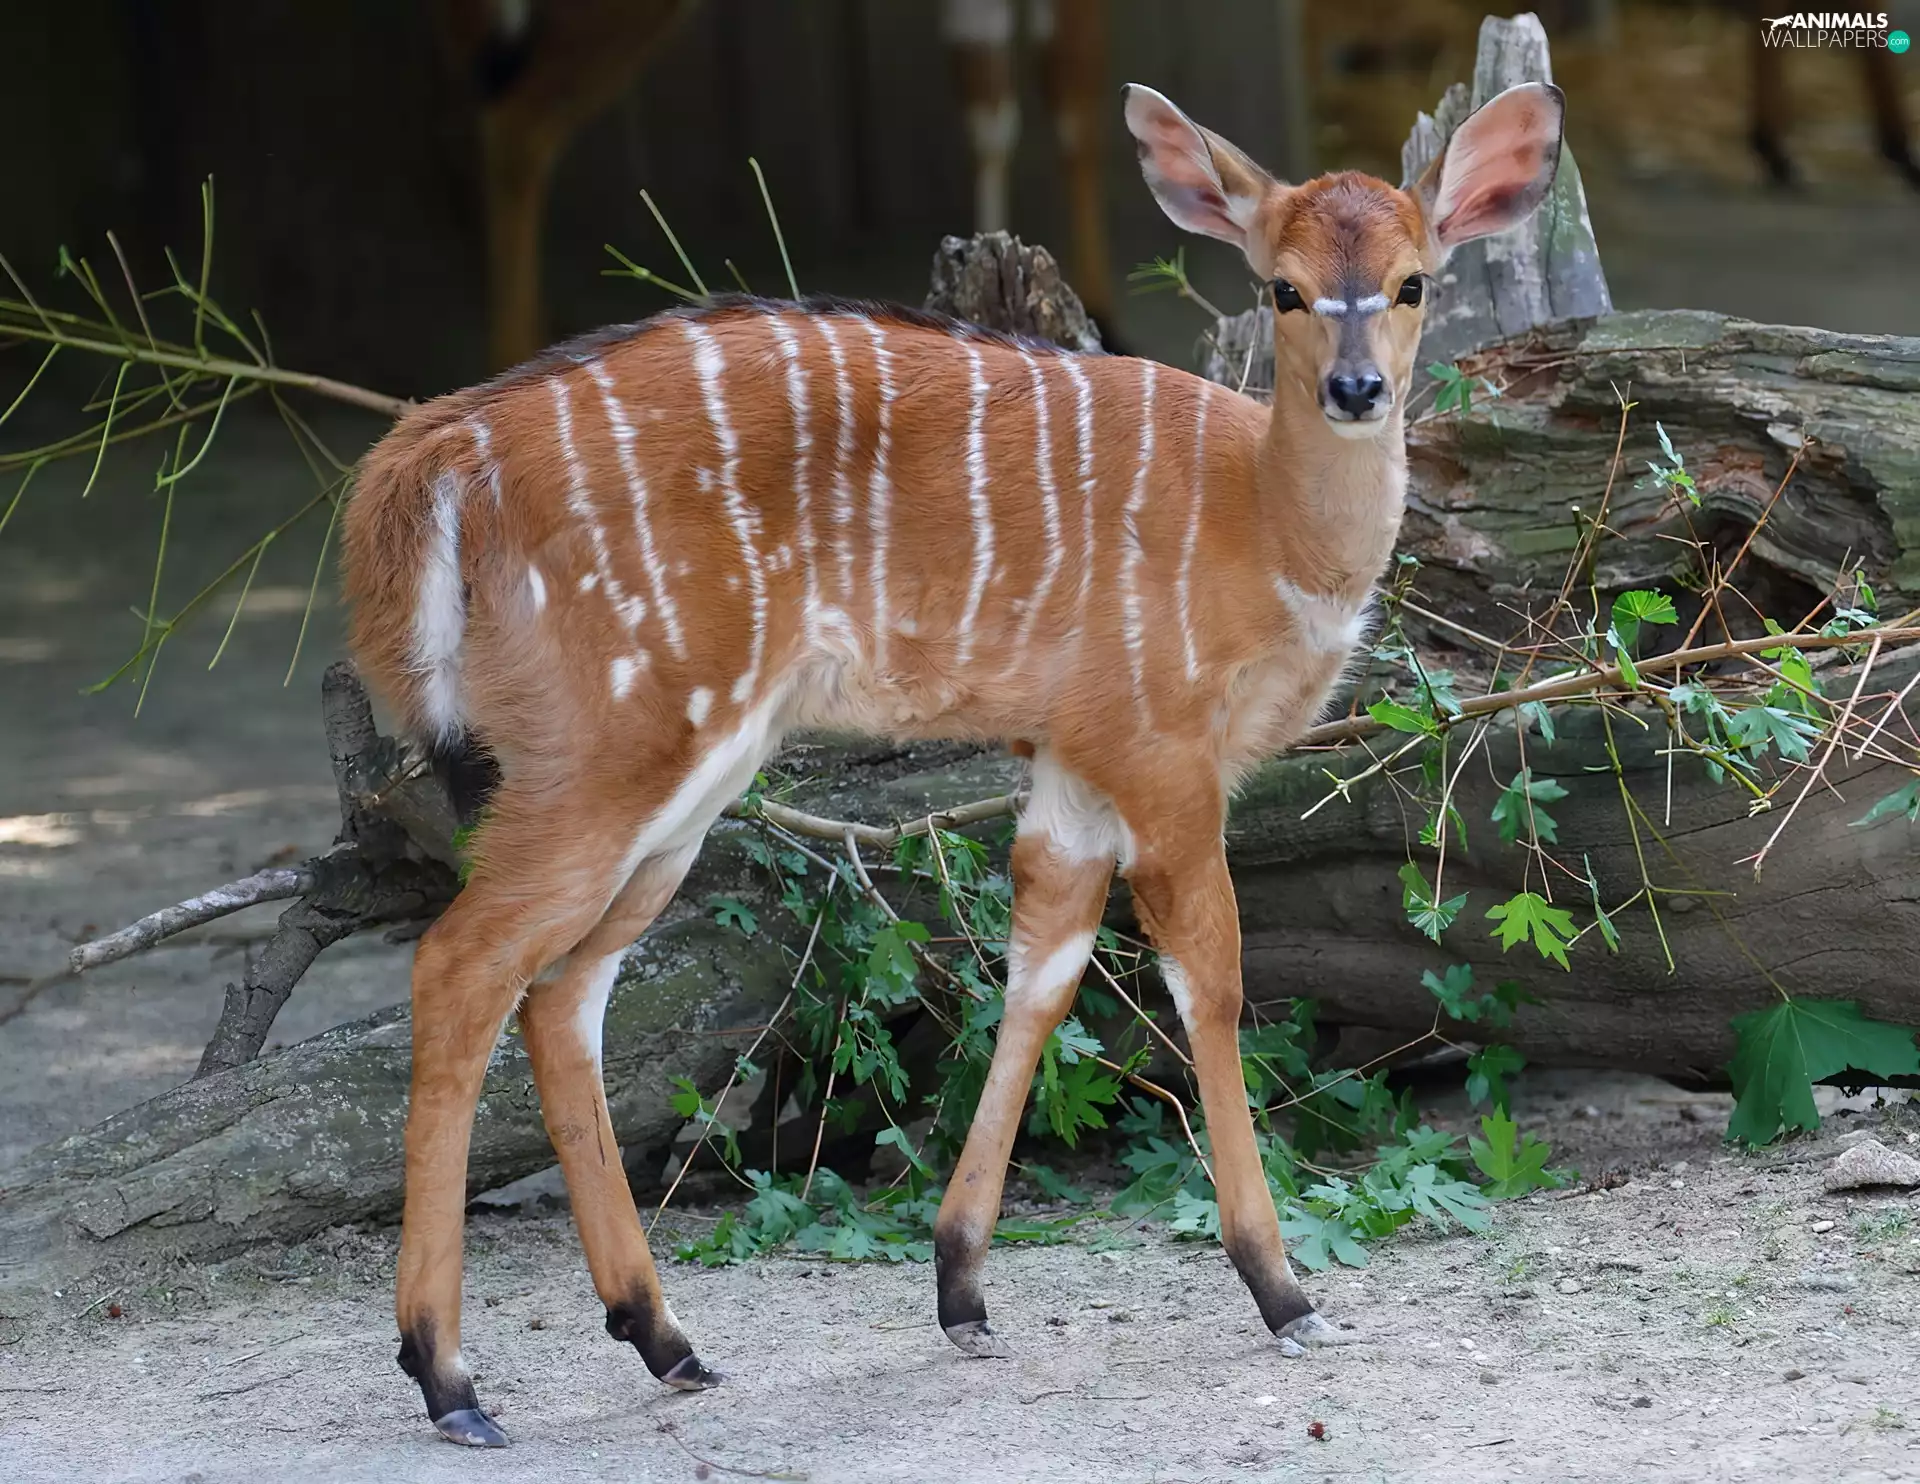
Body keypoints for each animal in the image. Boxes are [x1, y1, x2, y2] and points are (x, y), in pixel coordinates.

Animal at [341, 79, 1565, 1446]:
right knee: (462, 966)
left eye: (1412, 281)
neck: (1262, 523)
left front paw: (963, 1286)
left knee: (563, 995)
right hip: (608, 746)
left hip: (680, 776)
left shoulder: (1075, 766)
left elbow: (1038, 973)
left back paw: (666, 1337)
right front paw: (1284, 1288)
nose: (1358, 388)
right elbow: (1212, 982)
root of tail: (441, 453)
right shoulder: (1166, 754)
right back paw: (450, 1375)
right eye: (1285, 288)